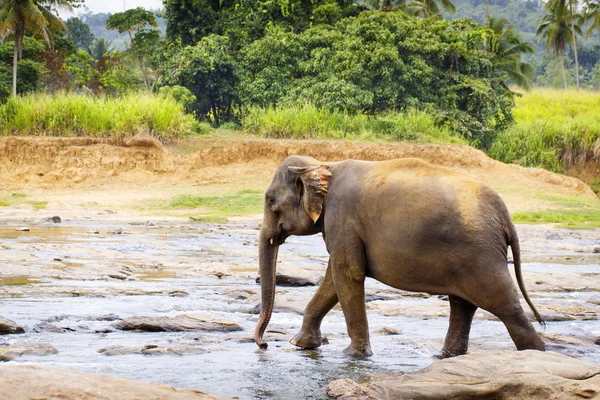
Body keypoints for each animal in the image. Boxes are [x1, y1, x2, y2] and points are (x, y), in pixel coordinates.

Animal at [251, 155, 548, 358]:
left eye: (270, 202)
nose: (263, 345)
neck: (324, 165)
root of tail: (505, 217)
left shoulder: (342, 217)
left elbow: (348, 273)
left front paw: (353, 356)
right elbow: (334, 278)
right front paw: (300, 344)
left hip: (482, 256)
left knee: (506, 308)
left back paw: (536, 355)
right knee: (462, 305)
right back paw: (445, 357)